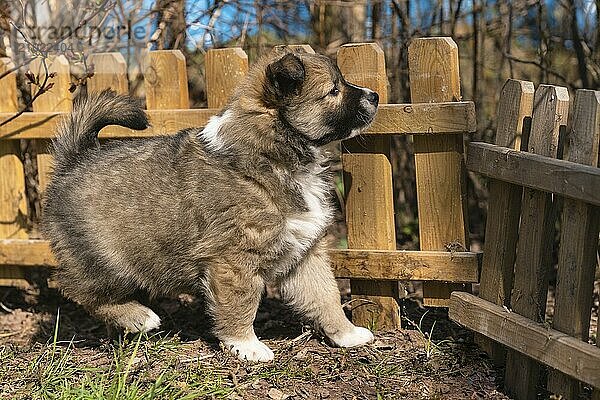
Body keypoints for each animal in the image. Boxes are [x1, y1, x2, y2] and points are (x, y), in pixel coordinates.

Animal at [43, 47, 380, 362]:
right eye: (333, 91)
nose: (375, 96)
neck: (272, 152)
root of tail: (73, 161)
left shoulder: (306, 253)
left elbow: (326, 295)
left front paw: (347, 333)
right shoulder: (234, 259)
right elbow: (240, 303)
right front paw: (246, 344)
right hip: (107, 258)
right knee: (77, 289)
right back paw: (139, 317)